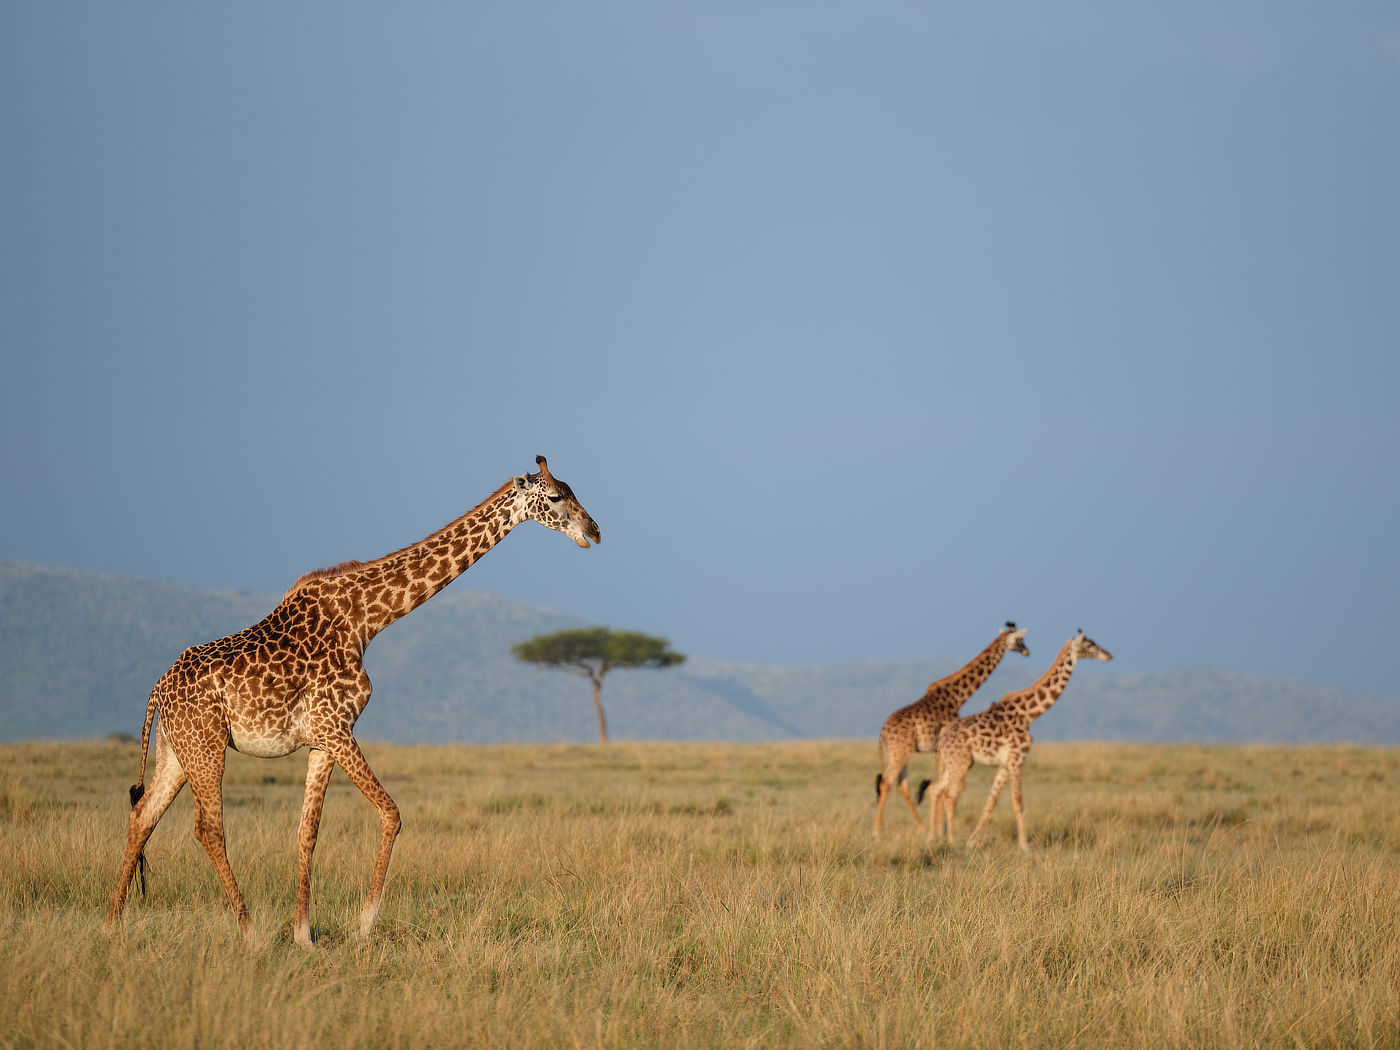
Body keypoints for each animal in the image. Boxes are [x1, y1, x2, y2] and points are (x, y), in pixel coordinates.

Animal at [105, 456, 599, 948]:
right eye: (555, 496)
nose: (593, 530)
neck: (366, 620)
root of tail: (157, 690)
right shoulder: (336, 726)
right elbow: (392, 813)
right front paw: (364, 924)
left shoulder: (322, 740)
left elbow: (307, 831)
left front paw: (304, 935)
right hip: (206, 746)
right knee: (207, 829)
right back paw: (250, 933)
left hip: (177, 751)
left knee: (142, 817)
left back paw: (112, 924)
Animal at [872, 622, 1029, 838]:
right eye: (1020, 640)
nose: (1027, 651)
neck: (958, 696)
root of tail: (883, 732)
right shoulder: (946, 743)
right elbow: (944, 784)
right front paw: (942, 830)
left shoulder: (941, 749)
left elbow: (942, 783)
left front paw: (940, 830)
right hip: (901, 751)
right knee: (887, 782)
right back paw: (877, 833)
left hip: (901, 751)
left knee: (901, 784)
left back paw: (921, 828)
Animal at [920, 630, 1112, 851]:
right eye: (1090, 645)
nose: (1109, 655)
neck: (1029, 715)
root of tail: (943, 740)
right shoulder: (1016, 760)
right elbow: (1018, 802)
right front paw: (1024, 846)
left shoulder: (1004, 764)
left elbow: (991, 802)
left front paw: (972, 841)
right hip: (961, 762)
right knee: (950, 797)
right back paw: (951, 841)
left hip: (954, 763)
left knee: (935, 789)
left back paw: (933, 837)